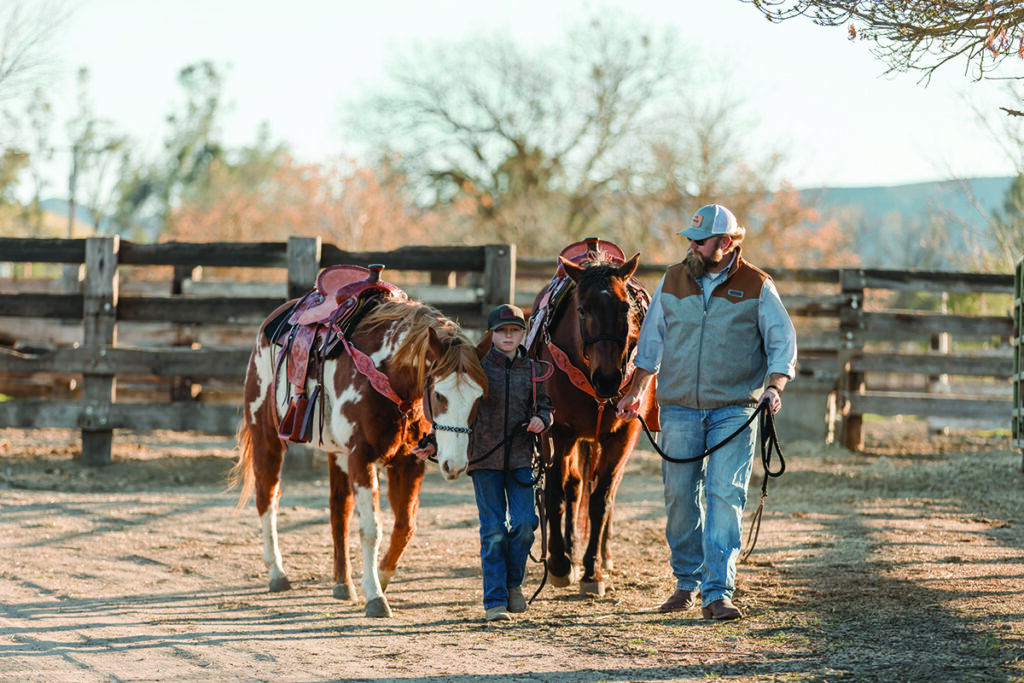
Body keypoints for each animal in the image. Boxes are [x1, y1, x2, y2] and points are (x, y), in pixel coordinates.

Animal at [232, 266, 487, 618]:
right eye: (438, 394)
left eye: (480, 397)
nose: (456, 464)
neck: (385, 373)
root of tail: (272, 321)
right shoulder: (362, 457)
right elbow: (372, 528)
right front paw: (375, 595)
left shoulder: (408, 462)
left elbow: (404, 526)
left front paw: (380, 576)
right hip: (265, 436)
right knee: (267, 498)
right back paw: (277, 573)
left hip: (336, 454)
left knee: (338, 510)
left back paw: (343, 582)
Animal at [524, 237, 659, 593]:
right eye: (582, 310)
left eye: (625, 308)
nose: (608, 379)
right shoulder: (557, 432)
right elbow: (557, 495)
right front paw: (560, 563)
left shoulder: (623, 434)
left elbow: (601, 500)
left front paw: (592, 568)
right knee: (572, 488)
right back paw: (568, 552)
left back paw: (603, 555)